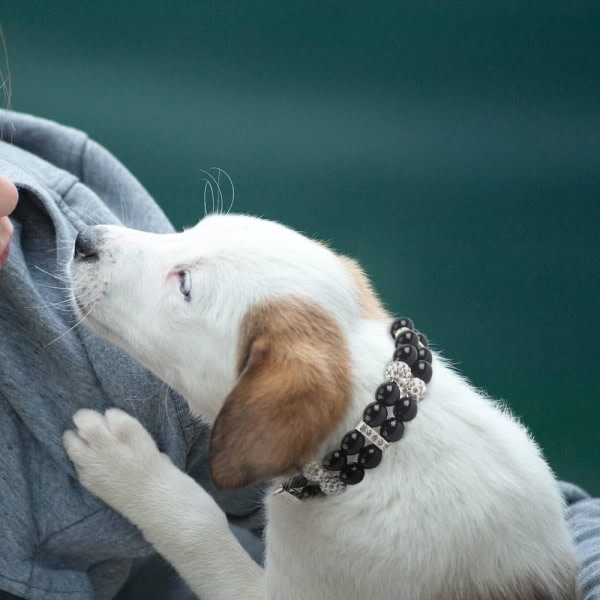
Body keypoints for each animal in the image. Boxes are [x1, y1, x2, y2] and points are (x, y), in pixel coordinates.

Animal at [63, 216, 580, 600]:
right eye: (189, 230)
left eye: (184, 283)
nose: (83, 240)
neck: (376, 438)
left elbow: (197, 524)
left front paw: (125, 464)